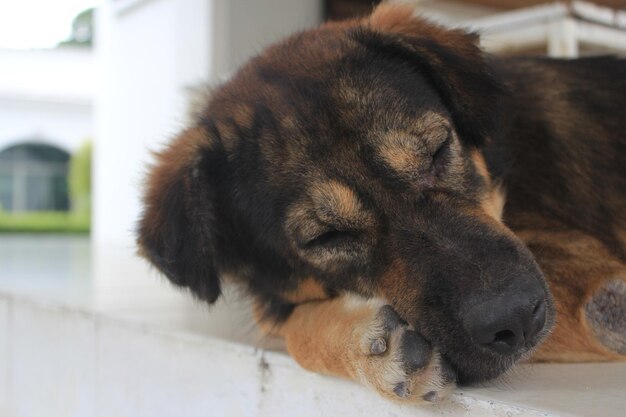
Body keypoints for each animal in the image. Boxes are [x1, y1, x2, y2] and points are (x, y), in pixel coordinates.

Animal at [136, 4, 624, 404]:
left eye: (438, 151)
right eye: (327, 236)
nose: (517, 318)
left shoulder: (594, 291)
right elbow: (285, 321)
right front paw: (365, 344)